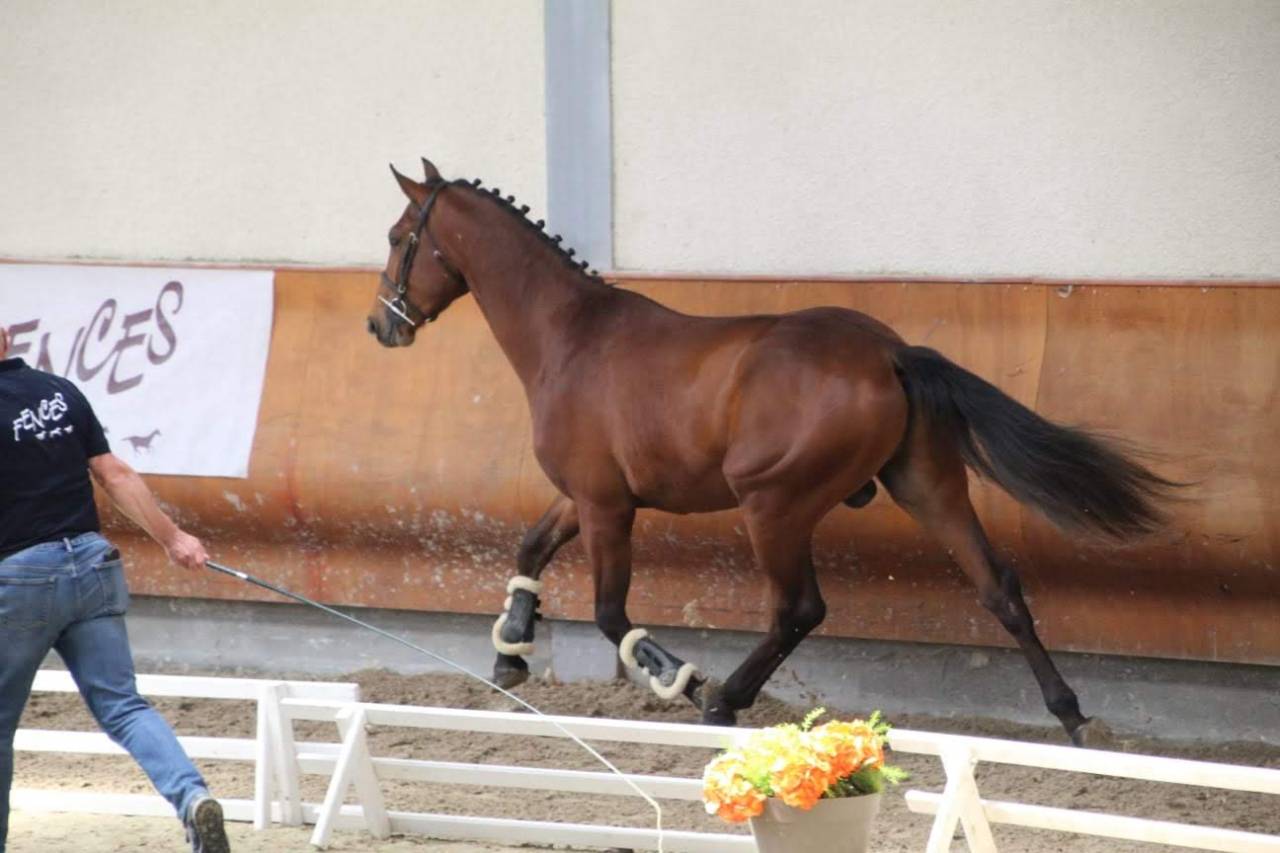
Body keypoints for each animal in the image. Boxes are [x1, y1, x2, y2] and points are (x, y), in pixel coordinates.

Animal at [366, 158, 1178, 746]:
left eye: (399, 236)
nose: (381, 325)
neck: (569, 336)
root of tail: (889, 353)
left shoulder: (605, 506)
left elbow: (610, 613)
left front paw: (678, 678)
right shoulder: (589, 496)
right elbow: (532, 546)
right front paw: (510, 648)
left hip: (775, 506)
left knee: (798, 608)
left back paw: (725, 699)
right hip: (927, 488)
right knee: (999, 589)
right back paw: (1070, 714)